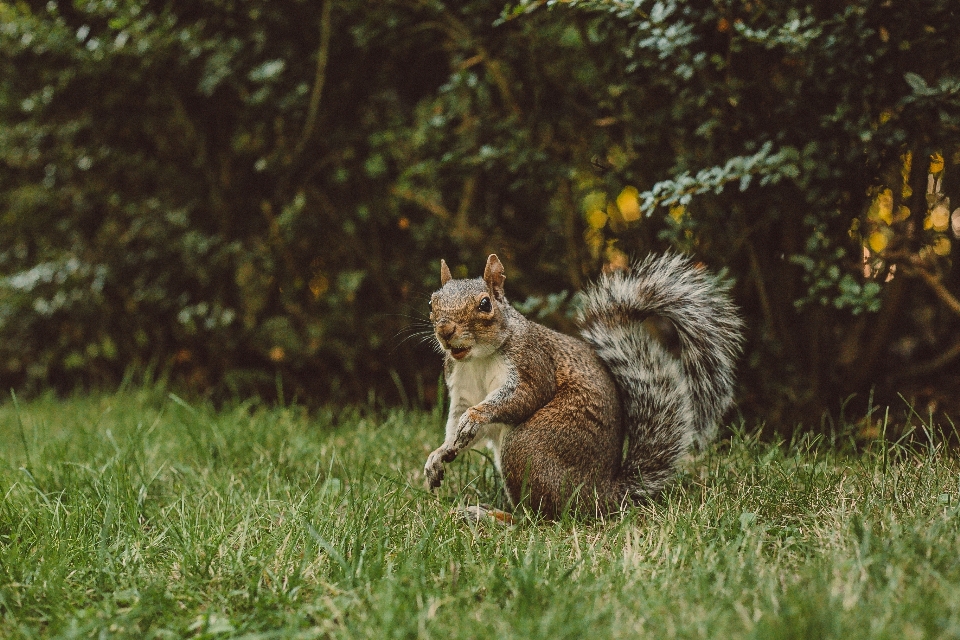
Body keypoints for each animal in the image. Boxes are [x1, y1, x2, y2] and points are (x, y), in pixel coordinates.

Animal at [424, 252, 748, 516]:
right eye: (432, 302)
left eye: (485, 304)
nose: (445, 330)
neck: (477, 358)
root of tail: (602, 495)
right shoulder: (461, 386)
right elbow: (456, 426)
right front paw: (440, 454)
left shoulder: (531, 363)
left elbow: (527, 395)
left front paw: (476, 417)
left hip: (529, 446)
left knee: (537, 518)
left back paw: (494, 517)